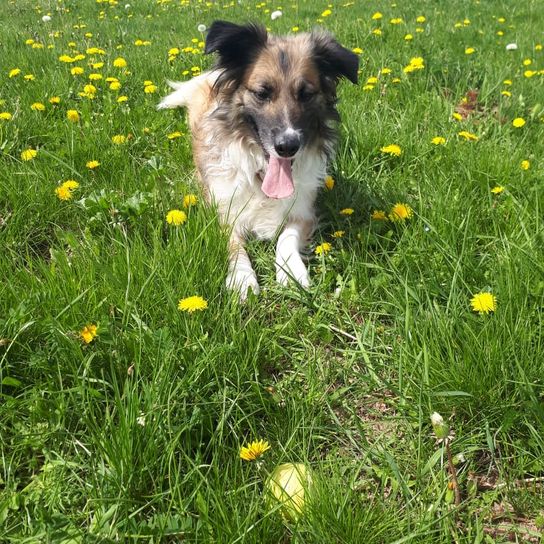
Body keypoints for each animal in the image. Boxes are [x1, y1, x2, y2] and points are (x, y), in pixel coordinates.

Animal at [159, 21, 360, 300]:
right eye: (262, 93)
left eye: (306, 94)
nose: (287, 146)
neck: (261, 173)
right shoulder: (223, 214)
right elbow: (234, 246)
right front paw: (243, 278)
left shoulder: (304, 211)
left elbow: (286, 238)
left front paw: (291, 272)